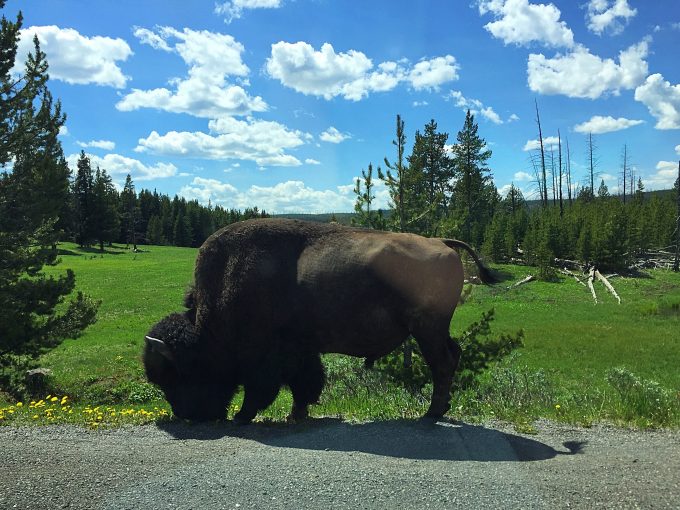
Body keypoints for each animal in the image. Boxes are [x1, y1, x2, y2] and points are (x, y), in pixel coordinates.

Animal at [143, 218, 494, 422]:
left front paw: (244, 416)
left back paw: (430, 414)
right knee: (453, 355)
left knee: (442, 363)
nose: (187, 416)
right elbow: (306, 381)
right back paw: (440, 409)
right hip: (435, 329)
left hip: (427, 329)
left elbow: (264, 387)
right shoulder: (301, 350)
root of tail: (442, 243)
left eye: (179, 373)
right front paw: (296, 415)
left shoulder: (266, 355)